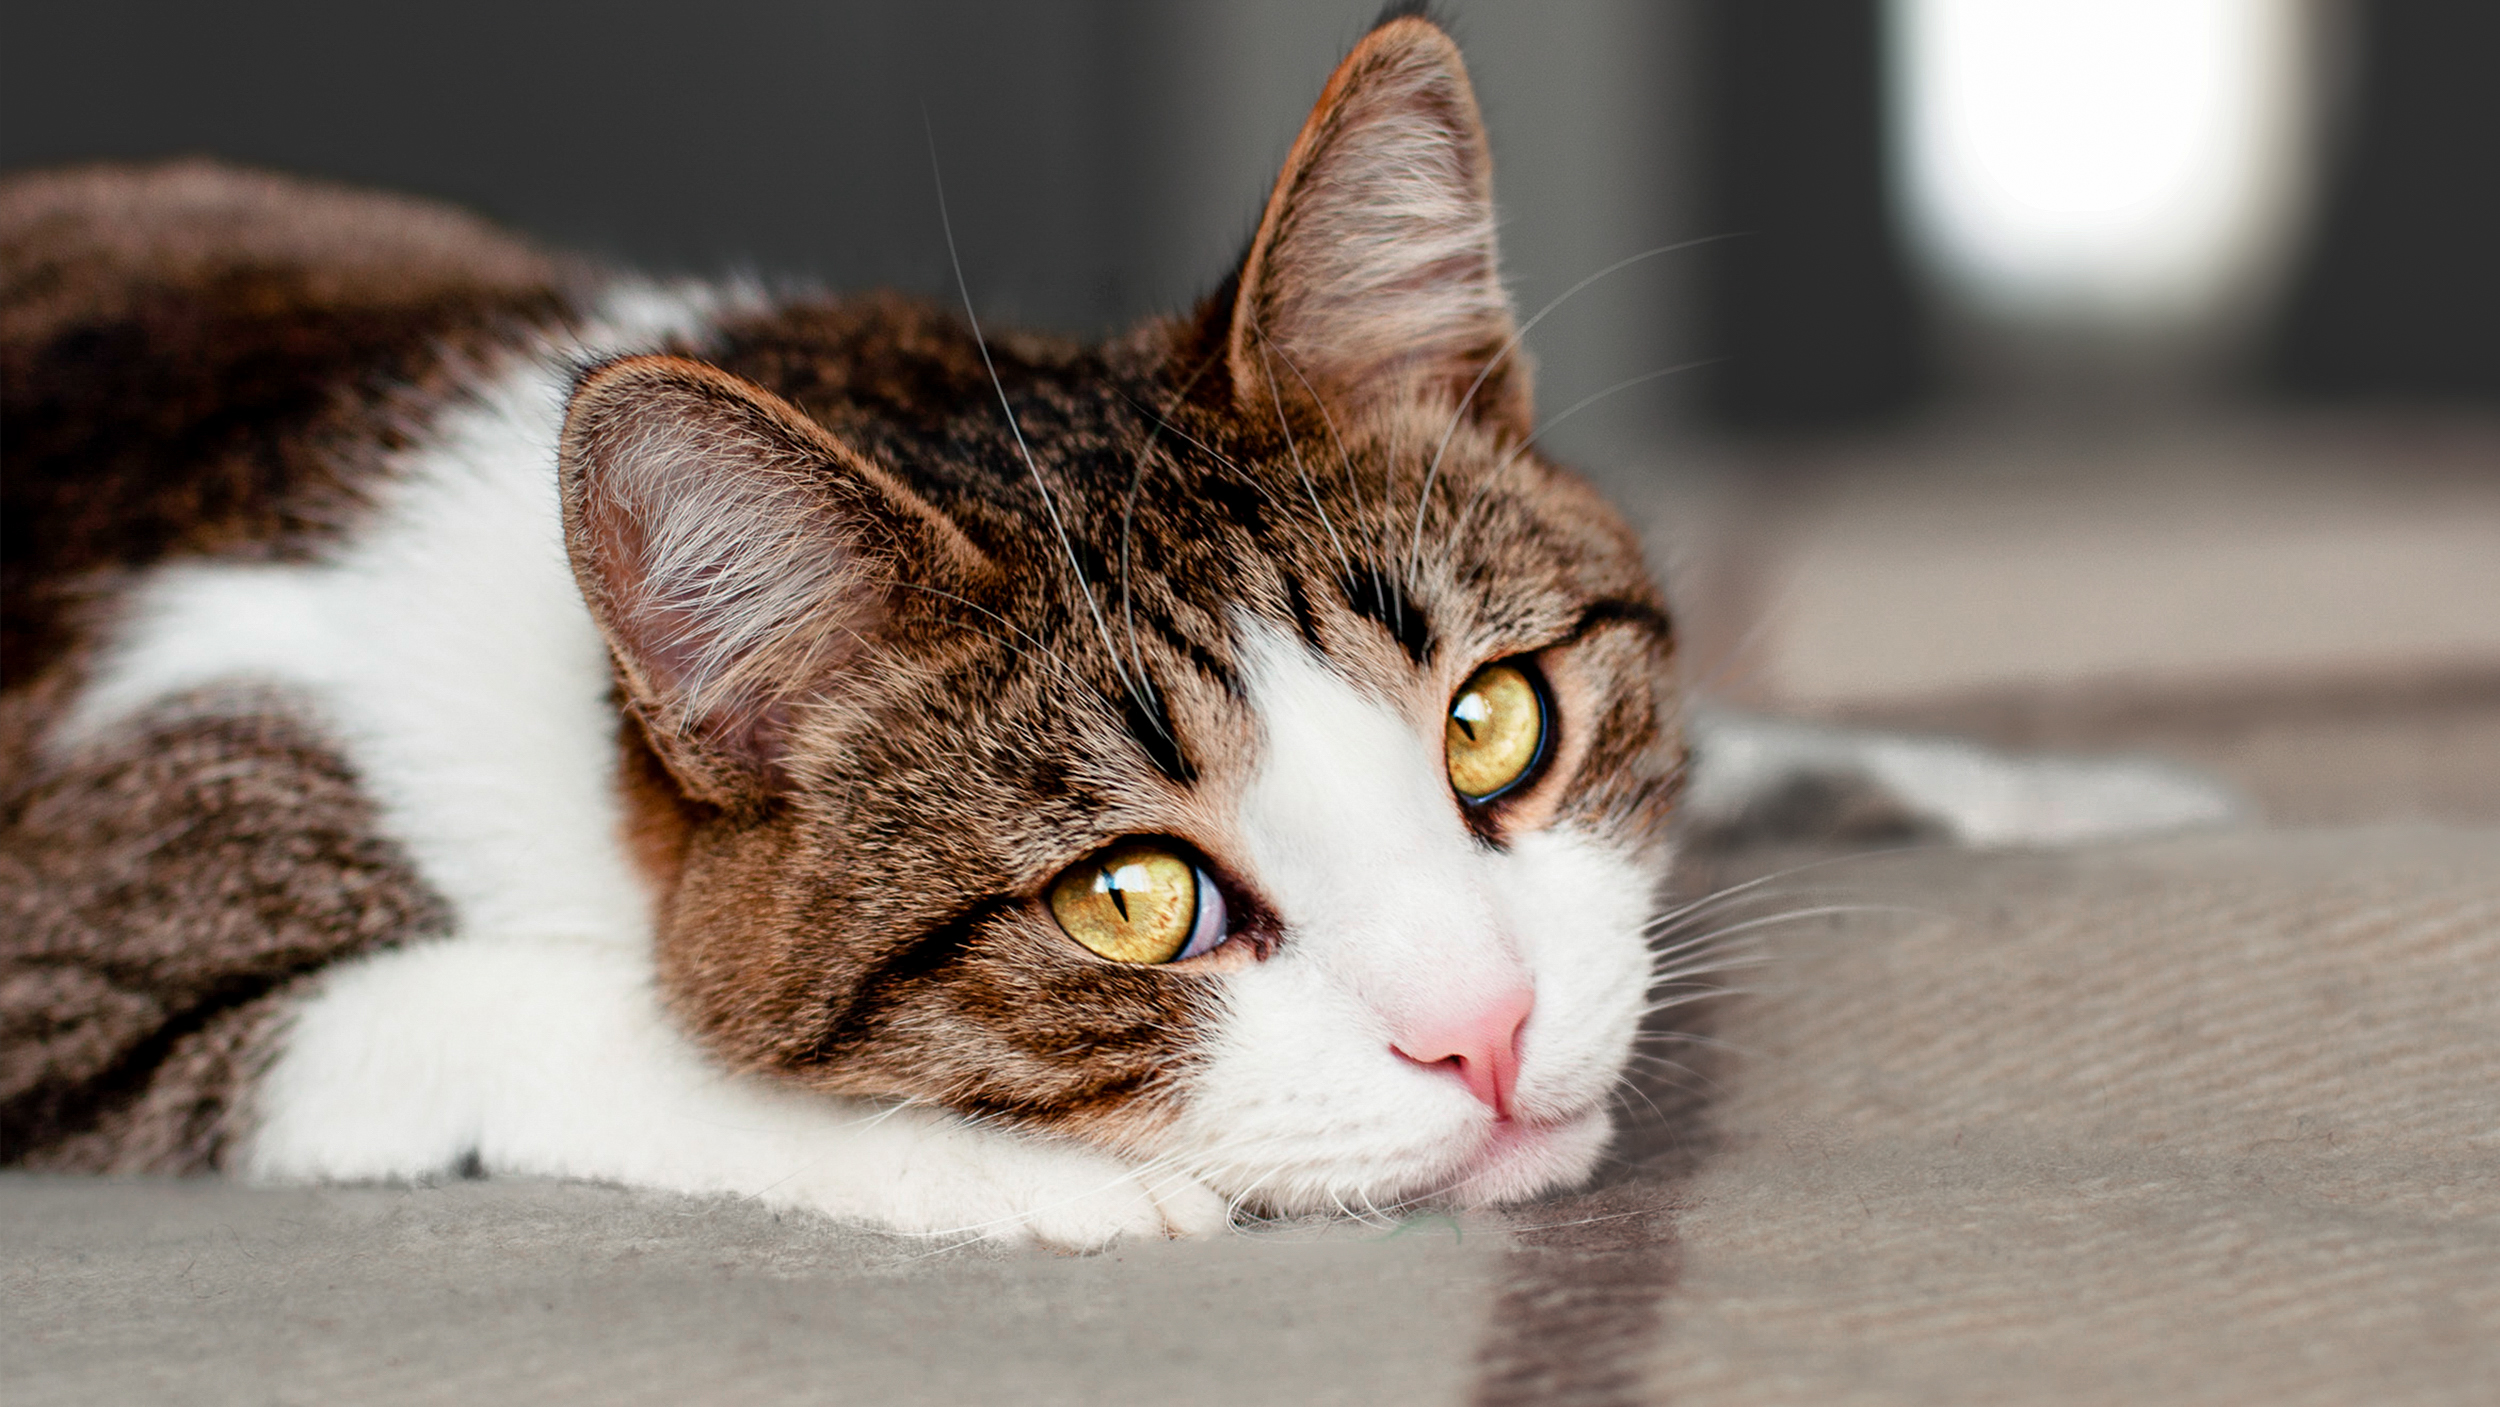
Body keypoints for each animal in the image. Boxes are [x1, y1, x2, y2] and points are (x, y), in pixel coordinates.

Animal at [0, 8, 2230, 1244]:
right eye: (1131, 901)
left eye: (1492, 723)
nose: (1493, 1032)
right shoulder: (87, 924)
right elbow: (530, 1008)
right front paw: (1024, 1170)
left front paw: (2056, 797)